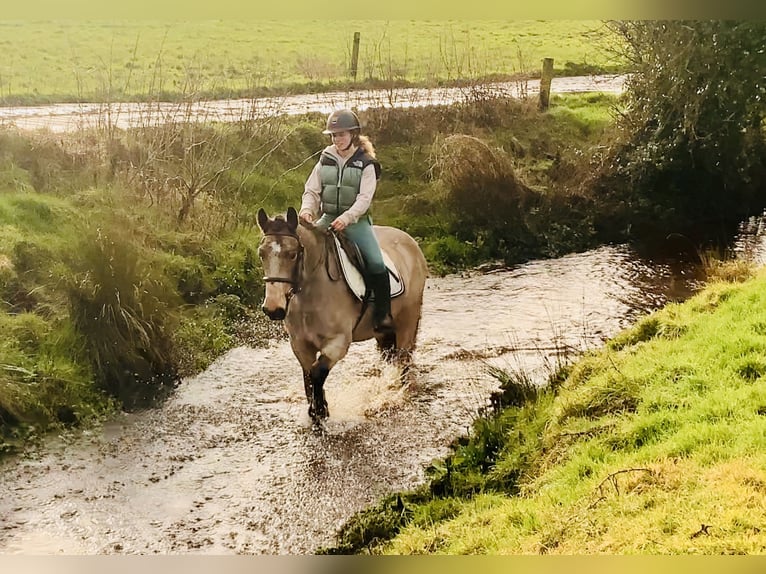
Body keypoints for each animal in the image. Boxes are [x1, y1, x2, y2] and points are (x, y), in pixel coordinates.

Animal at [256, 207, 428, 423]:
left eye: (293, 254)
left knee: (404, 361)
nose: (273, 308)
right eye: (261, 254)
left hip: (408, 322)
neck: (311, 294)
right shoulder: (300, 345)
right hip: (384, 332)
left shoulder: (338, 343)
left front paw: (320, 412)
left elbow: (317, 373)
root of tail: (411, 242)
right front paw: (317, 412)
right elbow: (308, 377)